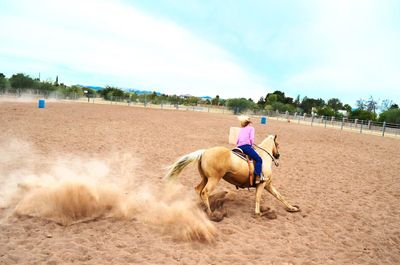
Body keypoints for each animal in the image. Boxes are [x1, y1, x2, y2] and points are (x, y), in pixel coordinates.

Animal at [164, 133, 298, 220]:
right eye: (278, 144)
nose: (278, 155)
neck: (263, 158)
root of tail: (205, 152)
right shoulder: (262, 183)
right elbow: (258, 198)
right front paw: (258, 213)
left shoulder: (268, 185)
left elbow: (280, 196)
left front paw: (293, 208)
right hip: (214, 179)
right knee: (205, 192)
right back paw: (211, 213)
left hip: (205, 178)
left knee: (198, 189)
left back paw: (201, 207)